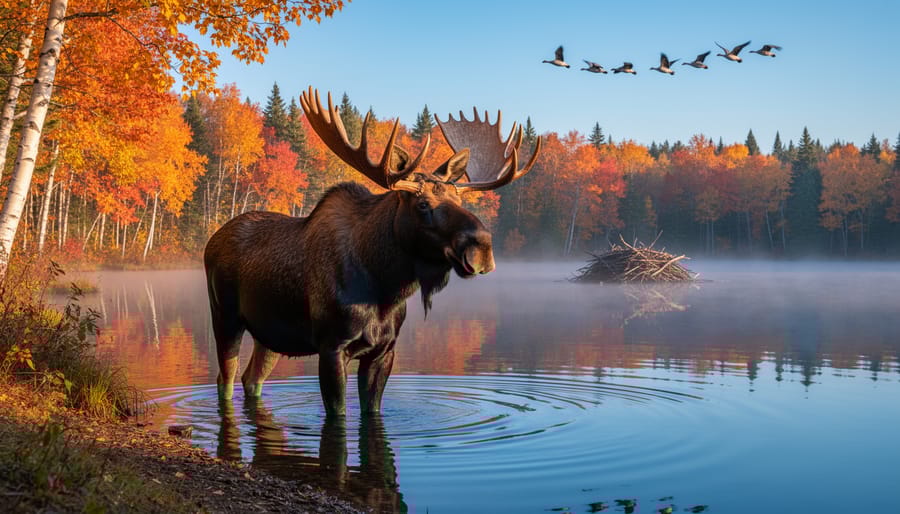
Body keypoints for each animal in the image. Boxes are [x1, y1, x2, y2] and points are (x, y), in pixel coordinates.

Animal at [204, 87, 541, 417]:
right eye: (422, 205)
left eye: (460, 201)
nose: (481, 247)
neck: (386, 289)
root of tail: (211, 241)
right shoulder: (331, 346)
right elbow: (338, 415)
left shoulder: (384, 349)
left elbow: (372, 410)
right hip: (225, 316)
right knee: (225, 378)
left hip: (271, 333)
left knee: (251, 378)